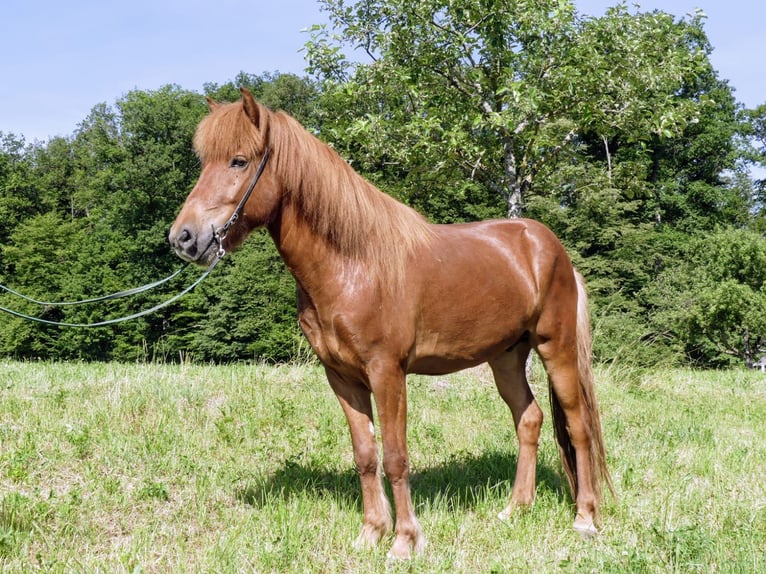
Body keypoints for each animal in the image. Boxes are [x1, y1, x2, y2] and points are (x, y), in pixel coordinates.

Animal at [169, 87, 613, 559]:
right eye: (204, 161)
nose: (184, 238)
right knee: (529, 419)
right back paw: (515, 509)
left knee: (579, 427)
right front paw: (370, 533)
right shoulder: (342, 377)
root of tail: (550, 247)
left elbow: (396, 457)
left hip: (555, 347)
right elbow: (365, 454)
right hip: (506, 358)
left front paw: (404, 540)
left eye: (238, 160)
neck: (354, 264)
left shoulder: (387, 372)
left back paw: (585, 519)